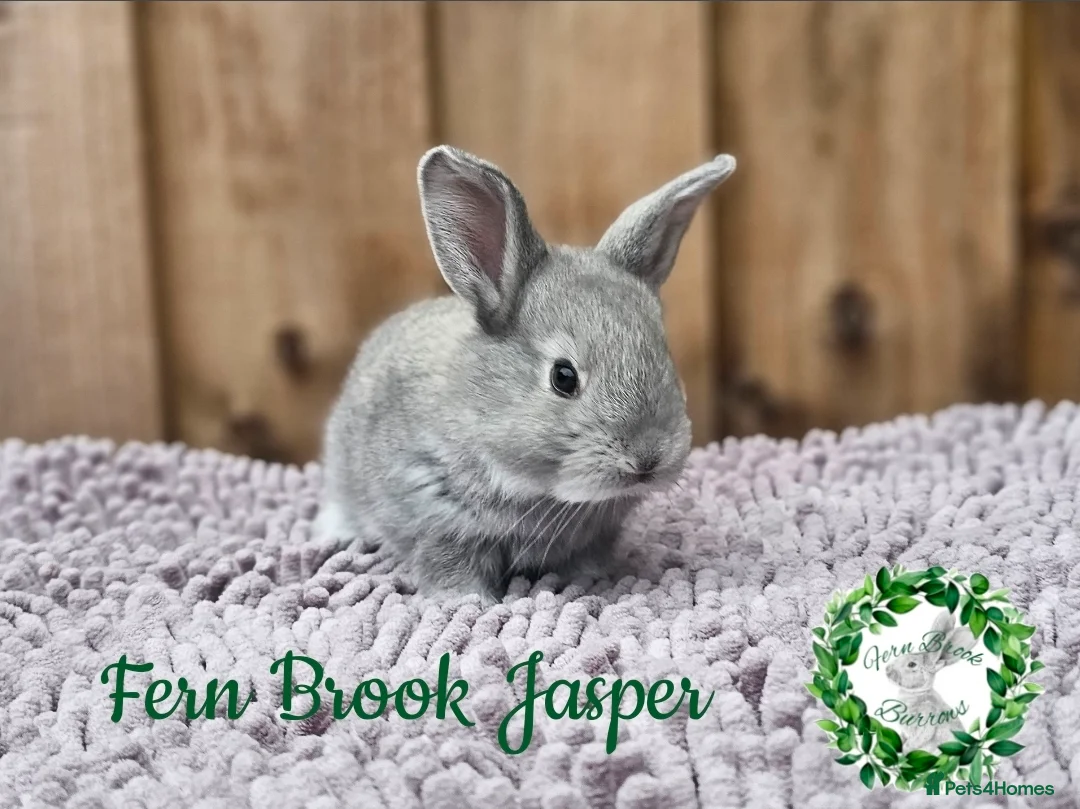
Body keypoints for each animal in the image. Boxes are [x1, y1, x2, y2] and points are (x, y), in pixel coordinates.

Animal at [314, 144, 737, 603]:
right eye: (563, 377)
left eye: (665, 356)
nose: (646, 460)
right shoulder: (438, 524)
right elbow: (450, 568)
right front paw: (469, 602)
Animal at [884, 609, 979, 752]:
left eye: (911, 664)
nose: (887, 670)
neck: (917, 693)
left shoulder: (926, 719)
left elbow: (919, 738)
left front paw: (905, 751)